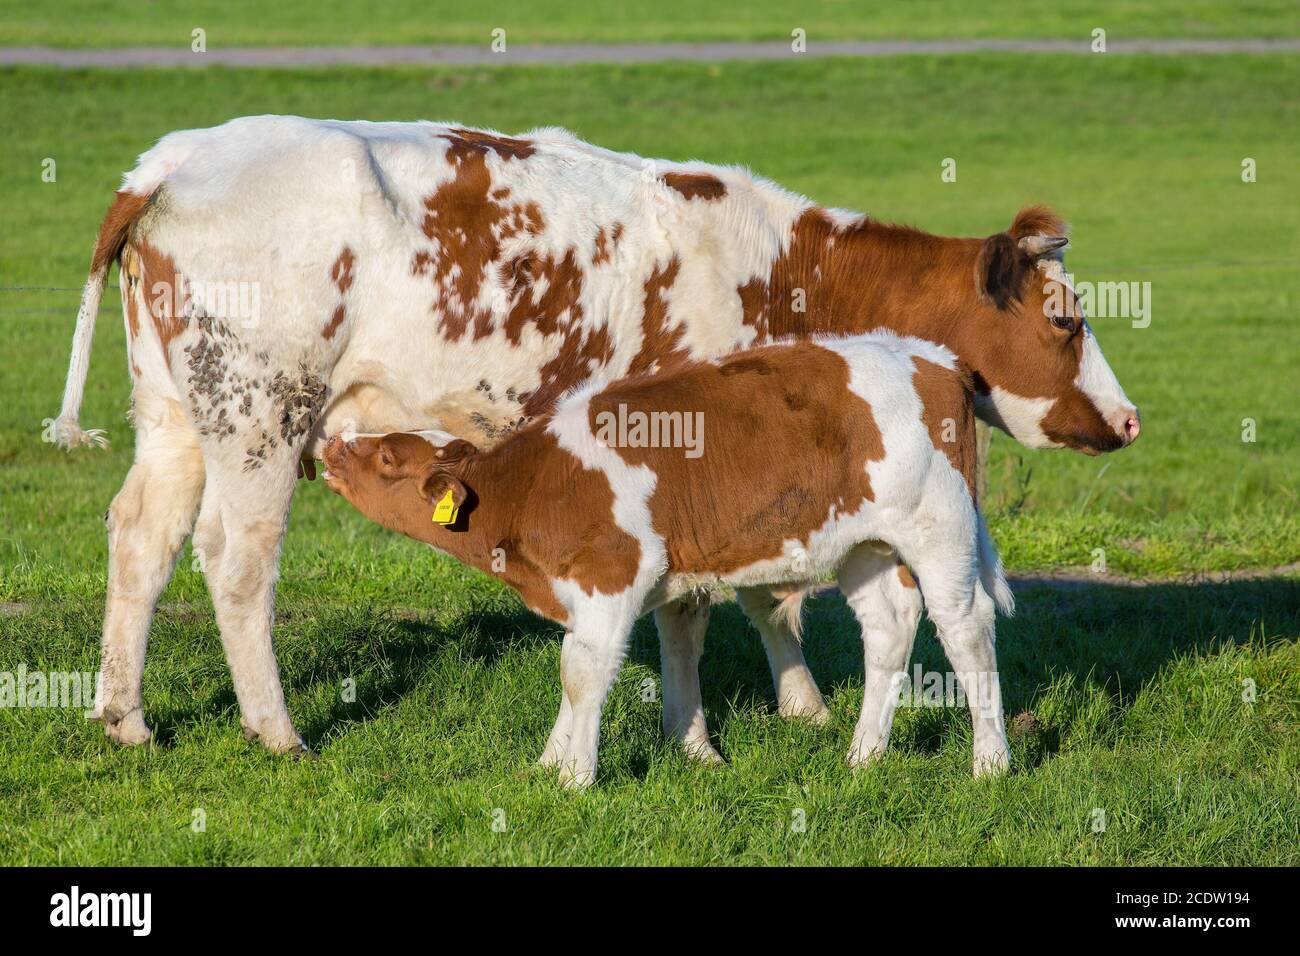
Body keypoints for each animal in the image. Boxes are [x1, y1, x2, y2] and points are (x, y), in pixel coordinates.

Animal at [319, 332, 1008, 790]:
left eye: (387, 459)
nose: (331, 445)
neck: (534, 488)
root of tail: (933, 358)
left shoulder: (611, 574)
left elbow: (583, 674)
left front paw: (574, 779)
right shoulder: (582, 595)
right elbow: (573, 671)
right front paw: (549, 762)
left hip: (940, 527)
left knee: (966, 629)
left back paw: (991, 763)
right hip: (865, 544)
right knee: (889, 625)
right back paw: (864, 756)